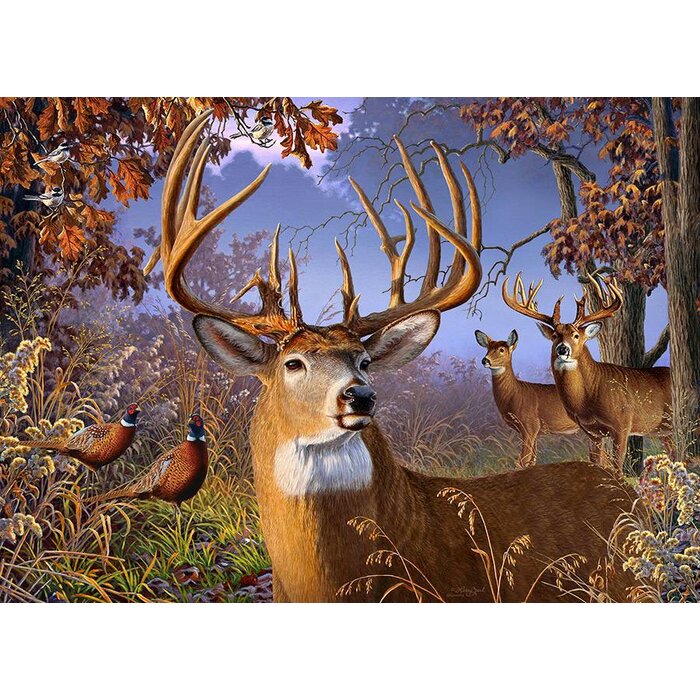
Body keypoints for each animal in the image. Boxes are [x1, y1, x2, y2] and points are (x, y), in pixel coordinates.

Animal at [475, 329, 579, 468]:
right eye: (488, 348)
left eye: (501, 349)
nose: (485, 360)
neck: (516, 394)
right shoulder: (533, 432)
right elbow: (531, 461)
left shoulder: (530, 427)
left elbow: (522, 461)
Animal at [502, 273, 672, 474]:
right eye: (555, 336)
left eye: (576, 335)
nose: (562, 349)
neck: (591, 394)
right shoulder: (592, 432)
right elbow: (596, 462)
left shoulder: (622, 424)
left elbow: (617, 467)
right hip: (665, 431)